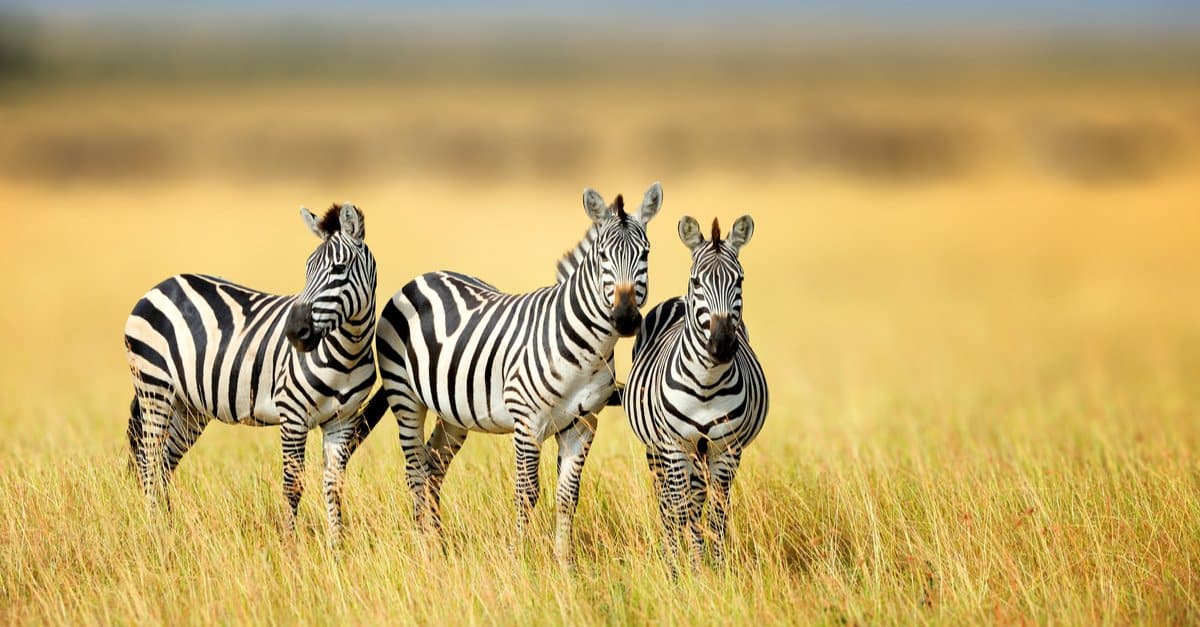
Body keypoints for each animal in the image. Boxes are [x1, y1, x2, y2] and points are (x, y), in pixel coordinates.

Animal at [123, 202, 378, 546]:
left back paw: (169, 529)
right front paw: (289, 547)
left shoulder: (343, 421)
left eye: (339, 269)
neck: (348, 352)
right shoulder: (292, 415)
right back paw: (154, 533)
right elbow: (292, 486)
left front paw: (336, 548)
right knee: (148, 462)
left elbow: (334, 486)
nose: (295, 332)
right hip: (155, 388)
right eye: (307, 268)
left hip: (188, 406)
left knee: (163, 464)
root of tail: (162, 285)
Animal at [356, 182, 662, 565]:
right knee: (415, 470)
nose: (625, 318)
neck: (588, 350)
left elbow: (568, 496)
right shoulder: (527, 422)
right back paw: (424, 548)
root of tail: (424, 277)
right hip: (405, 397)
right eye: (603, 256)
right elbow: (526, 493)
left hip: (453, 413)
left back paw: (437, 545)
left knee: (433, 467)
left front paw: (565, 564)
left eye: (646, 254)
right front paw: (519, 558)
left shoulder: (583, 424)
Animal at [623, 214, 768, 570]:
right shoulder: (674, 445)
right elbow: (679, 509)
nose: (722, 345)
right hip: (658, 450)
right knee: (667, 501)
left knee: (698, 500)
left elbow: (716, 513)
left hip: (702, 453)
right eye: (697, 281)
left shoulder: (726, 449)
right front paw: (679, 570)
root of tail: (677, 298)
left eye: (740, 280)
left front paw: (714, 568)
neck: (706, 382)